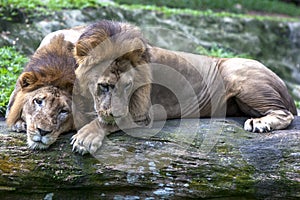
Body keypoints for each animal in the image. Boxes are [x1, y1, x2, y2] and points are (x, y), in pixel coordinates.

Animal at [70, 20, 298, 155]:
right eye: (104, 86)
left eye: (128, 86)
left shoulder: (142, 113)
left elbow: (104, 121)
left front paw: (86, 137)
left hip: (238, 73)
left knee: (285, 114)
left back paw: (260, 123)